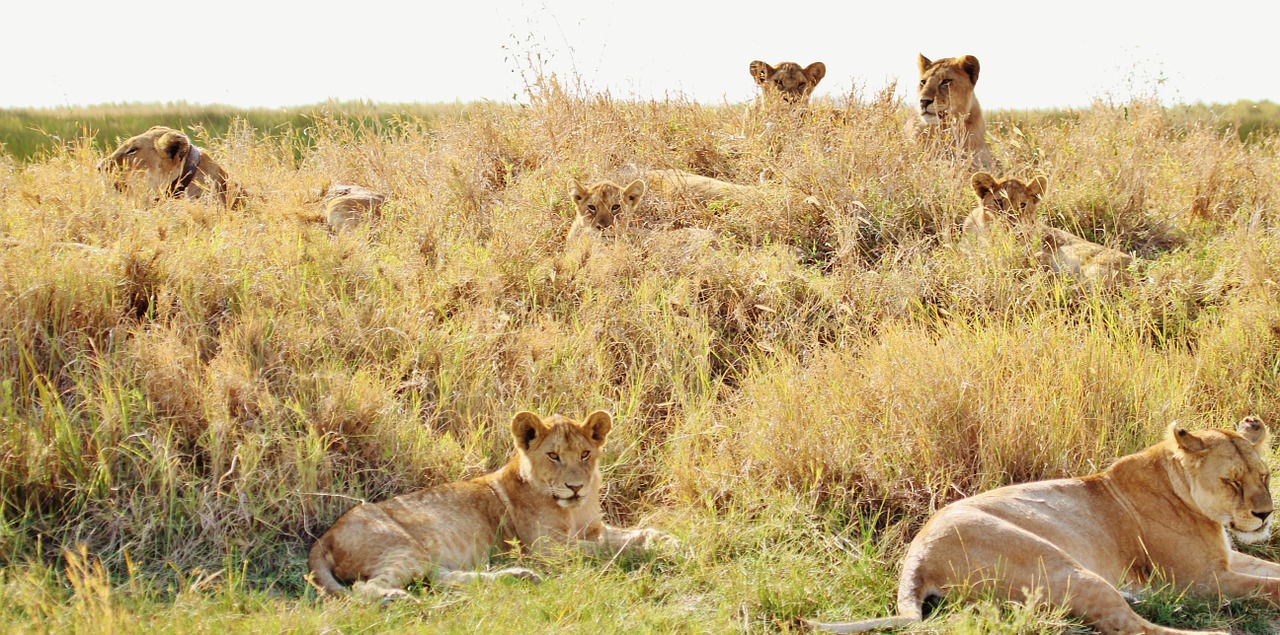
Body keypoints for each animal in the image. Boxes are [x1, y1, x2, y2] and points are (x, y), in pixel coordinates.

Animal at [307, 412, 680, 599]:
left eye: (586, 454)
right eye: (554, 456)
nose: (575, 487)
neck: (573, 510)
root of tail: (324, 537)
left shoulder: (593, 529)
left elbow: (634, 533)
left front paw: (669, 541)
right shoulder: (549, 550)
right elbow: (611, 550)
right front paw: (654, 551)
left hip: (422, 556)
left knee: (439, 579)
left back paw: (518, 577)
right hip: (403, 548)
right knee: (366, 588)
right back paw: (395, 599)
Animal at [808, 417, 1280, 635]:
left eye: (1264, 475)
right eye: (1232, 482)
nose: (1265, 515)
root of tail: (916, 558)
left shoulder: (1228, 559)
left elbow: (1271, 573)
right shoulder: (1198, 581)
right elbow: (1268, 588)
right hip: (1065, 569)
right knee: (1128, 626)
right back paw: (1217, 631)